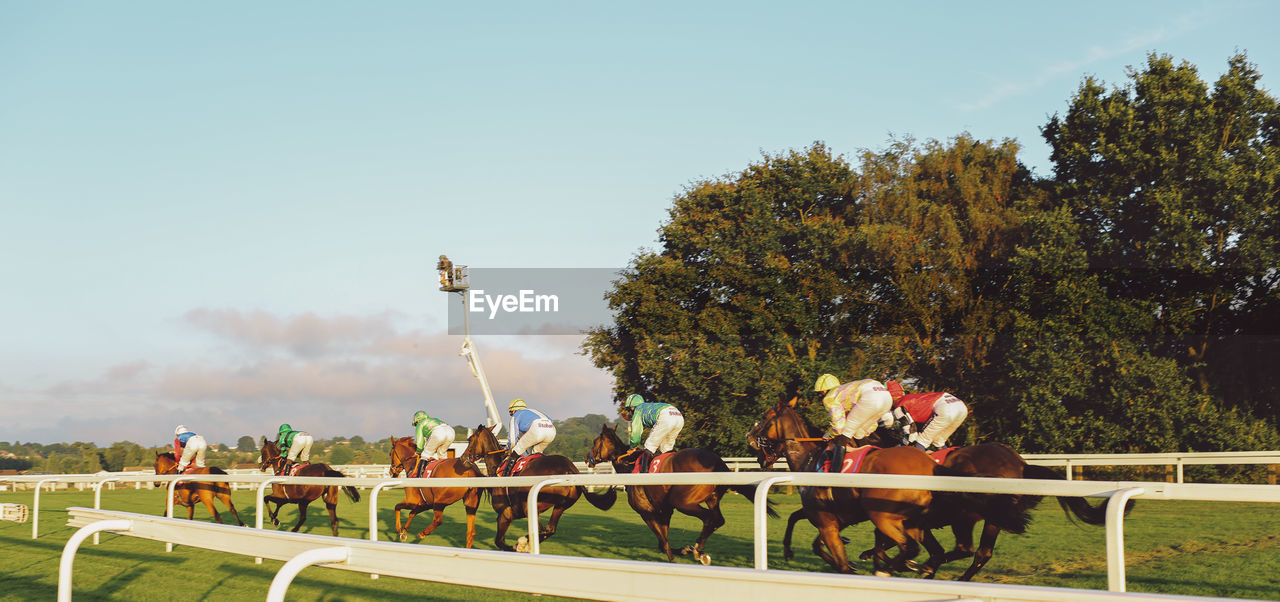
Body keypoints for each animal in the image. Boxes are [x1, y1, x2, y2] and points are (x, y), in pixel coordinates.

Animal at [463, 422, 616, 550]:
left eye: (470, 439)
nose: (463, 457)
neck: (498, 468)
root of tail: (570, 469)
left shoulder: (505, 514)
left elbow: (499, 542)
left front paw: (517, 546)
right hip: (560, 506)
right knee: (549, 530)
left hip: (529, 506)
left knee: (541, 530)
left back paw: (522, 543)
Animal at [586, 422, 773, 563]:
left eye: (595, 441)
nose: (588, 458)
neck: (629, 466)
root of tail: (719, 463)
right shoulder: (664, 512)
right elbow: (663, 542)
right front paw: (683, 550)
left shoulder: (646, 513)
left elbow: (663, 544)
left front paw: (677, 556)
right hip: (712, 499)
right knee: (718, 519)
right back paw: (698, 549)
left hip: (683, 501)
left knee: (708, 518)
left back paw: (698, 549)